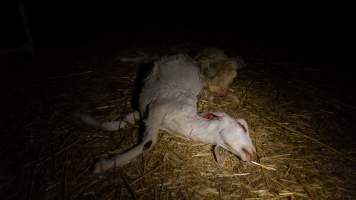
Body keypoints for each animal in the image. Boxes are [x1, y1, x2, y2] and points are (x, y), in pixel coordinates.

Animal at [84, 54, 256, 173]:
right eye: (242, 126)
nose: (254, 153)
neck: (185, 120)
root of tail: (188, 58)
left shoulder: (148, 113)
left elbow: (126, 120)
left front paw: (99, 123)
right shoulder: (156, 109)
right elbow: (148, 143)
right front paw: (104, 165)